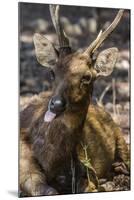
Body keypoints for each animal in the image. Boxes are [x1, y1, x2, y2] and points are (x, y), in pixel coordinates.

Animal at [19, 4, 129, 197]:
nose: (56, 104)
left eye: (87, 77)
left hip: (121, 138)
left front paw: (103, 185)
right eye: (52, 72)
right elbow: (47, 190)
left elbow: (88, 185)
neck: (52, 162)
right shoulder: (23, 165)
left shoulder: (85, 168)